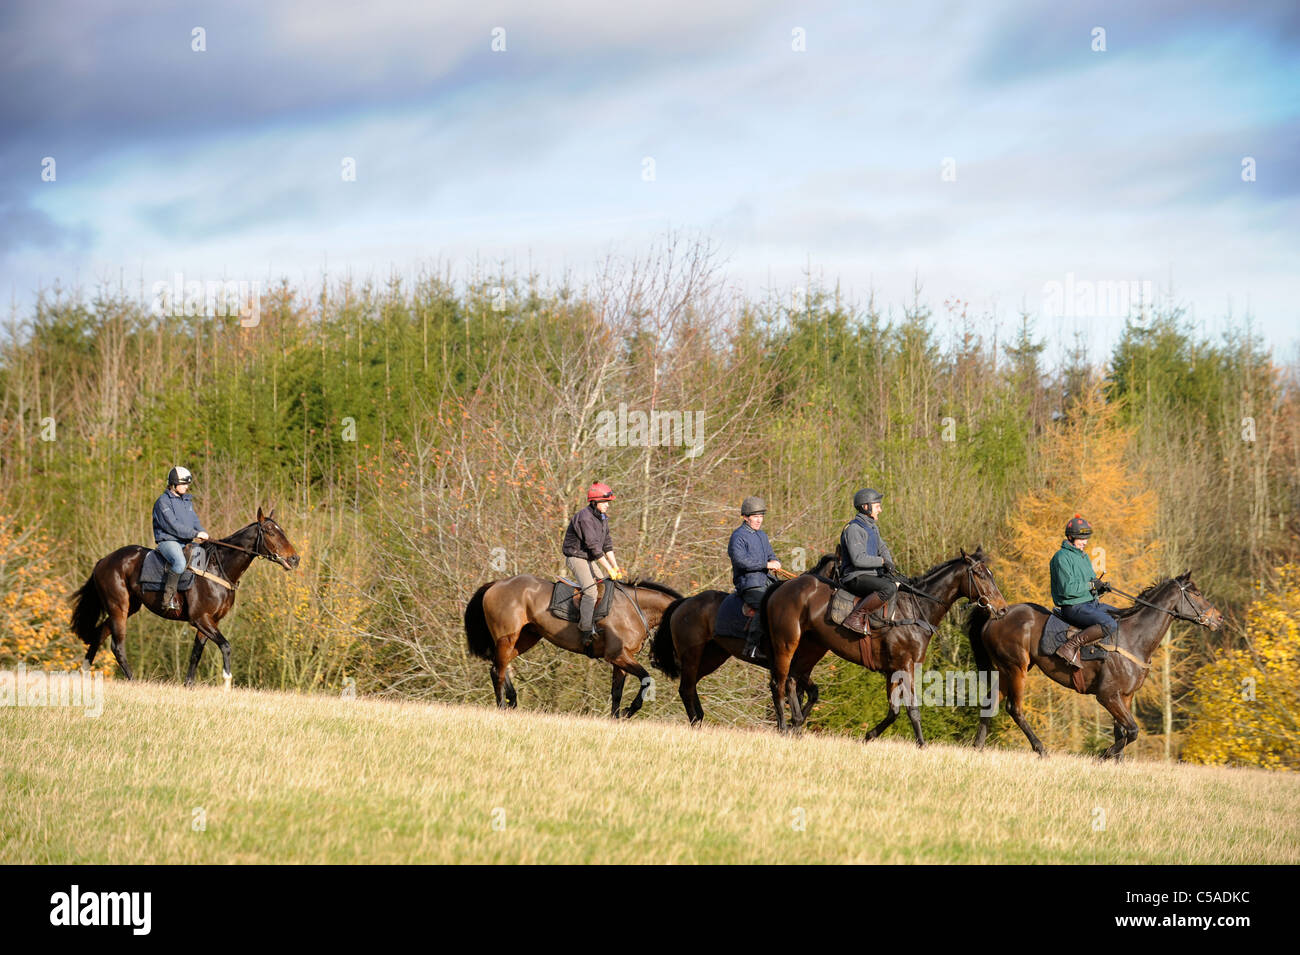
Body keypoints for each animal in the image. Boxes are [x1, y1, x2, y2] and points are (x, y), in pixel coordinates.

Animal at [68, 511, 299, 691]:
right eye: (270, 532)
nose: (295, 559)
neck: (217, 568)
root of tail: (103, 560)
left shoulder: (210, 622)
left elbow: (196, 653)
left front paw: (189, 685)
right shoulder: (200, 619)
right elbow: (225, 646)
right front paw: (226, 682)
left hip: (128, 608)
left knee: (99, 634)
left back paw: (84, 673)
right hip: (119, 608)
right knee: (117, 646)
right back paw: (132, 680)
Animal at [467, 574, 691, 717]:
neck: (635, 609)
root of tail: (496, 584)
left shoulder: (620, 660)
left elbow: (617, 692)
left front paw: (616, 718)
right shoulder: (618, 656)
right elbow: (646, 678)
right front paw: (629, 711)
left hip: (524, 638)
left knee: (500, 666)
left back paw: (512, 702)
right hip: (507, 638)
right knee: (497, 671)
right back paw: (502, 707)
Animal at [644, 553, 837, 722]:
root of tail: (685, 602)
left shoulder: (801, 669)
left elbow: (811, 693)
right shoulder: (789, 666)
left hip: (712, 657)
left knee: (691, 687)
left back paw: (699, 717)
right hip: (692, 655)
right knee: (686, 689)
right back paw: (695, 721)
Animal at [764, 548, 1008, 743]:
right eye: (980, 574)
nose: (1003, 609)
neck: (915, 610)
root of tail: (785, 585)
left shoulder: (893, 670)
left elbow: (894, 711)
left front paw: (869, 736)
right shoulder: (905, 667)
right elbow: (912, 709)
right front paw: (922, 745)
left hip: (810, 647)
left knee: (793, 680)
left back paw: (796, 723)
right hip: (786, 643)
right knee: (779, 683)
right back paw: (784, 727)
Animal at [961, 566, 1222, 764]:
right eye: (1196, 593)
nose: (1218, 618)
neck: (1133, 638)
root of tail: (997, 614)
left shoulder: (1125, 696)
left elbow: (1122, 730)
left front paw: (1116, 761)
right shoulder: (1107, 696)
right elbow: (1132, 731)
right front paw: (1104, 755)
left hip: (1005, 671)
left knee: (990, 704)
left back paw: (978, 748)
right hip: (1016, 669)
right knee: (1014, 709)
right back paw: (1041, 749)